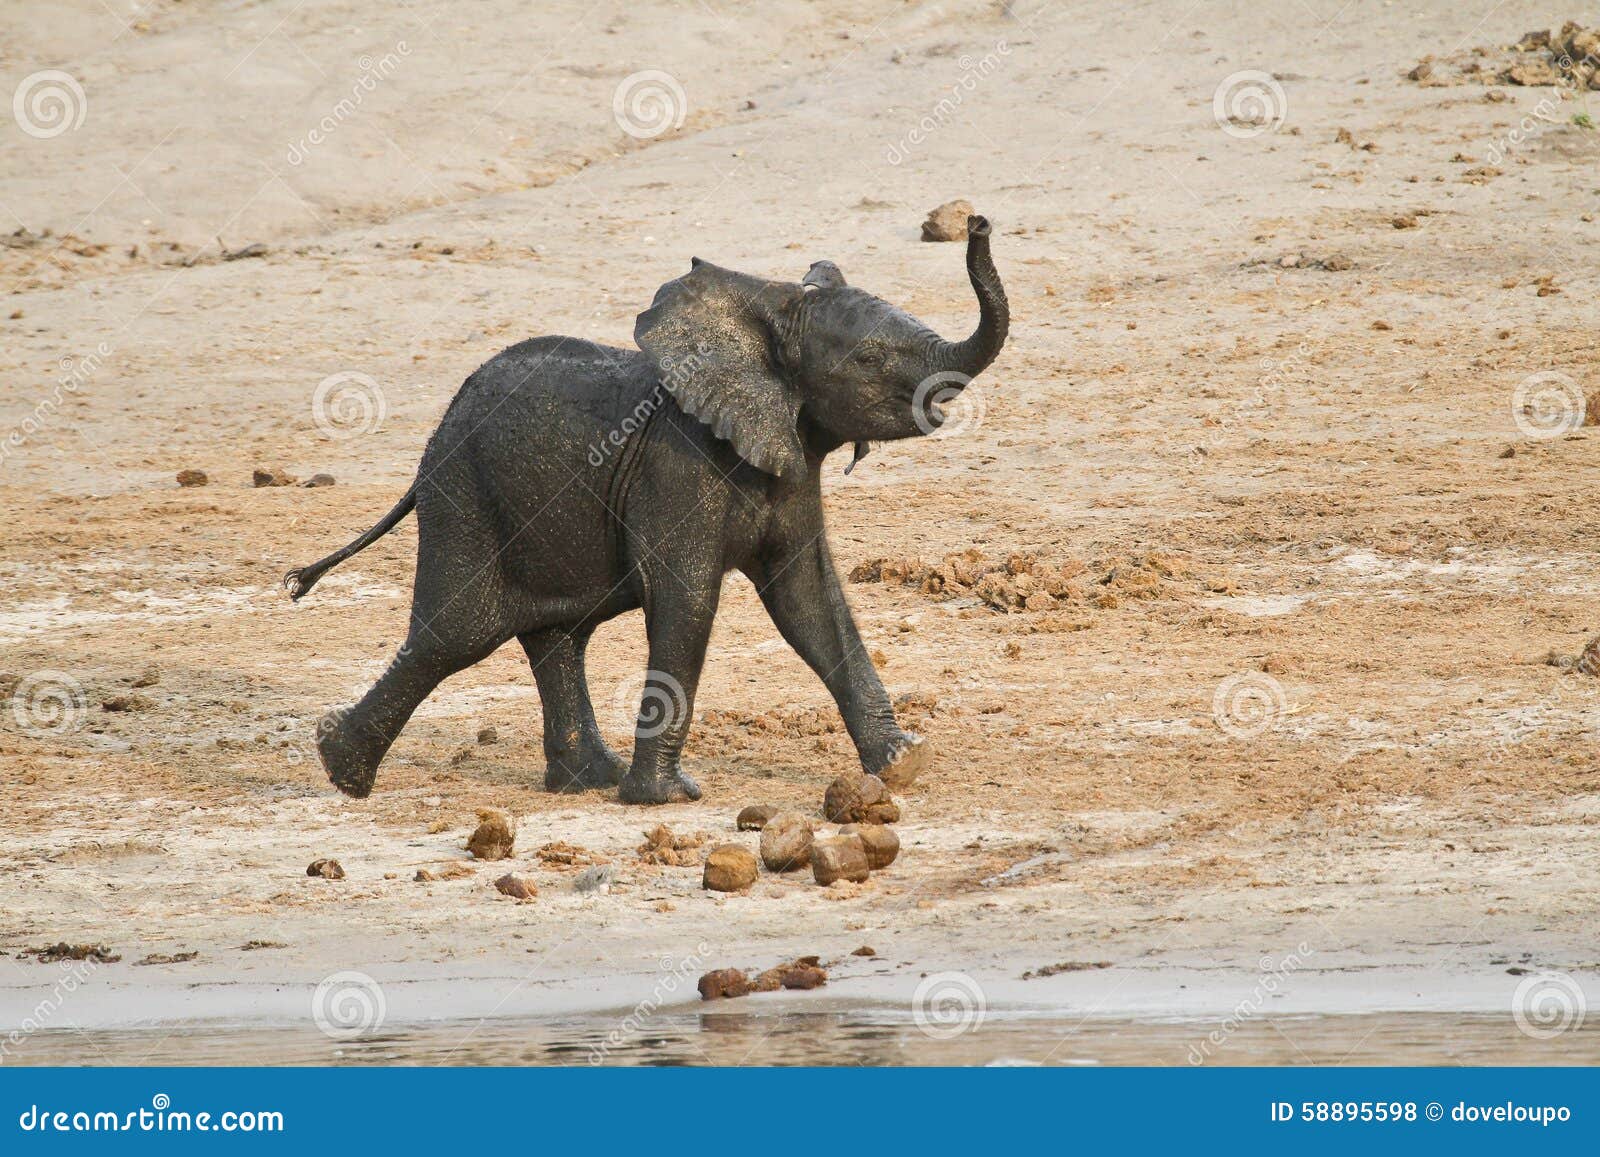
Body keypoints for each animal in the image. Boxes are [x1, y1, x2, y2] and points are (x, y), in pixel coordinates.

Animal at [288, 214, 1004, 806]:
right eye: (869, 359)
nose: (978, 222)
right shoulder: (678, 467)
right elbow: (687, 600)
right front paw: (666, 798)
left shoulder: (792, 464)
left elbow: (808, 599)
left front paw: (904, 766)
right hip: (462, 493)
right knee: (456, 634)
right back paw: (341, 770)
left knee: (556, 635)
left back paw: (585, 781)